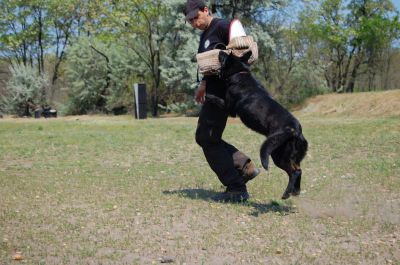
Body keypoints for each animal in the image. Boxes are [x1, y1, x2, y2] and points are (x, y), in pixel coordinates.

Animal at [212, 50, 310, 198]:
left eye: (226, 55)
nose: (220, 50)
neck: (240, 72)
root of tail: (295, 130)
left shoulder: (228, 109)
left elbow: (212, 98)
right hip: (290, 156)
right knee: (299, 169)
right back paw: (295, 191)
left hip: (278, 155)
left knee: (294, 172)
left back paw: (286, 194)